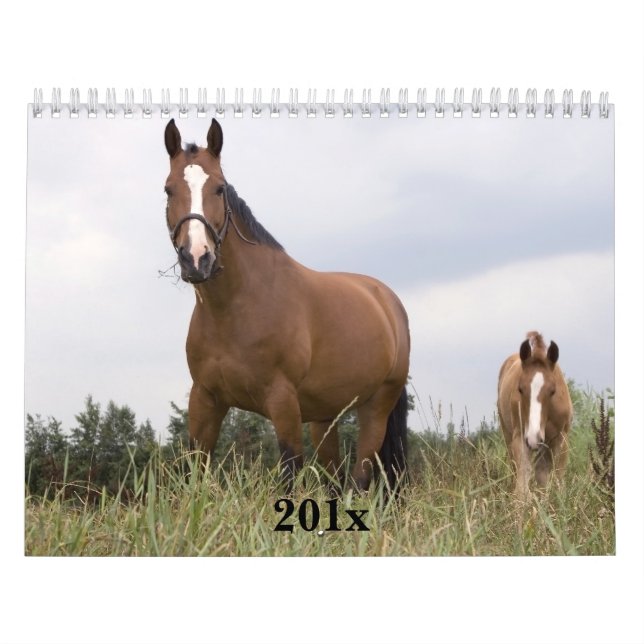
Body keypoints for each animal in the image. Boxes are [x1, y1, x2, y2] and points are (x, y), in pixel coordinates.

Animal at [163, 118, 410, 491]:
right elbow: (195, 473)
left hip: (376, 406)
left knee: (359, 480)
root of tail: (387, 300)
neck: (236, 309)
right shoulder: (205, 399)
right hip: (325, 418)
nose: (196, 259)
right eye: (168, 190)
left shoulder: (283, 404)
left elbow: (289, 476)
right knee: (336, 480)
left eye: (219, 189)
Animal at [497, 331, 573, 499]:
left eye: (553, 390)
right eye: (520, 389)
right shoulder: (520, 438)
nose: (534, 438)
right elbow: (522, 490)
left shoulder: (561, 439)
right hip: (509, 436)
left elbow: (557, 482)